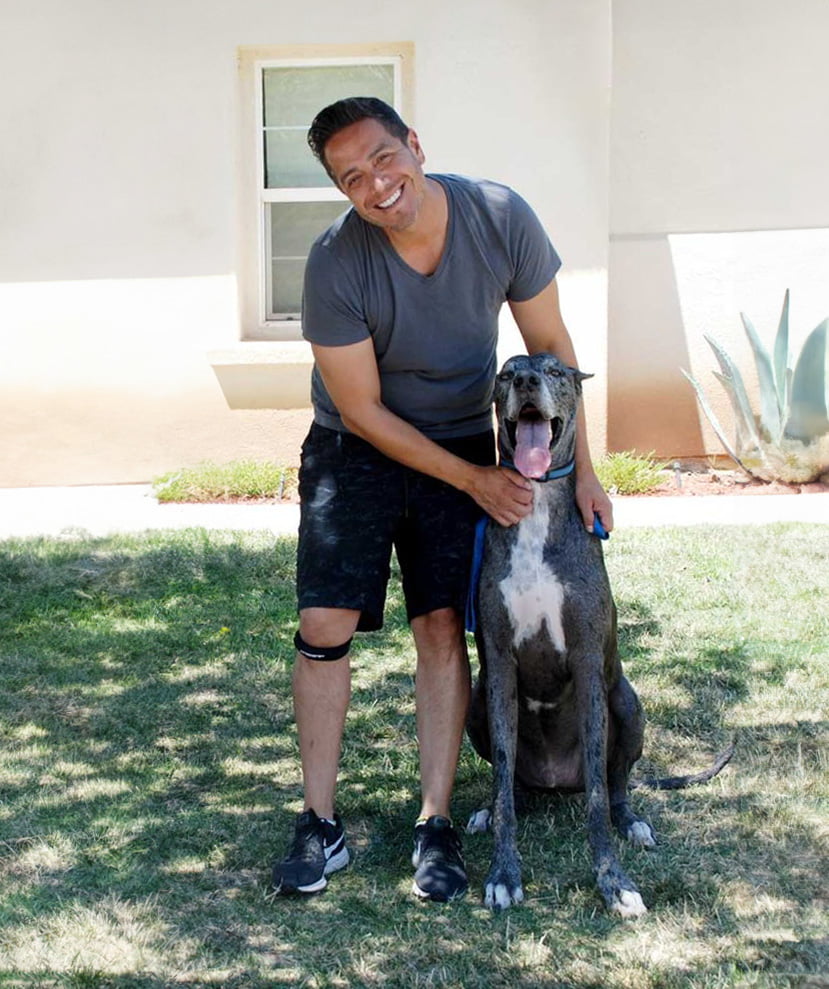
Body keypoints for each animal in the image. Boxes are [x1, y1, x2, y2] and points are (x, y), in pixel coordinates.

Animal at [466, 352, 732, 916]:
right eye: (507, 373)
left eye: (554, 371)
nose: (528, 381)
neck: (538, 501)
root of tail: (553, 784)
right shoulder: (498, 665)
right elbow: (502, 785)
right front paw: (503, 873)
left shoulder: (589, 664)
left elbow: (595, 797)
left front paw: (614, 880)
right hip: (477, 704)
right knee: (511, 784)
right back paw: (490, 808)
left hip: (627, 705)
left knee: (613, 785)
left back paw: (630, 821)